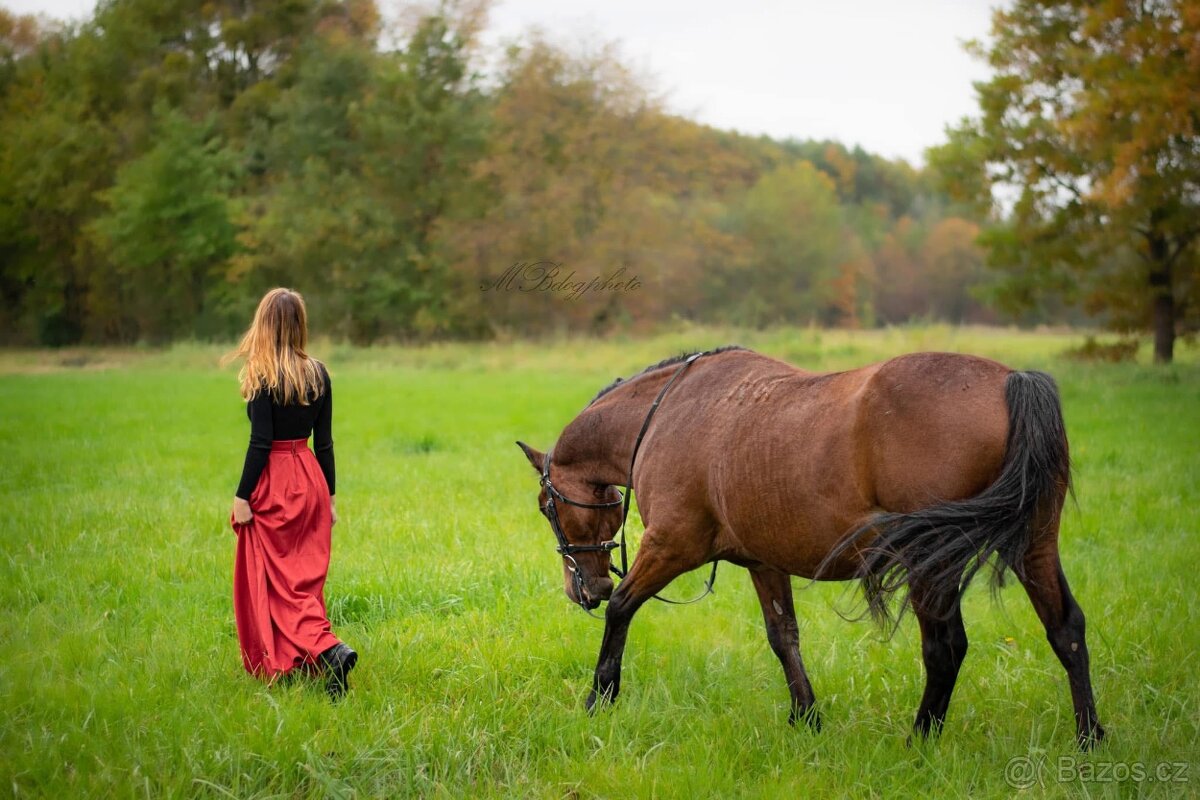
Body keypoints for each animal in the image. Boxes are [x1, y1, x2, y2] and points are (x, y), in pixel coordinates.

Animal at [516, 346, 1105, 749]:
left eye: (547, 507)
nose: (583, 588)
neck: (667, 413)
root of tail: (1012, 381)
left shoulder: (672, 545)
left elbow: (623, 610)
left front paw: (600, 697)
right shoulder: (762, 562)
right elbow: (784, 638)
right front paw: (806, 718)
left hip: (930, 565)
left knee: (945, 649)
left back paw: (919, 740)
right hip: (1033, 548)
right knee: (1066, 629)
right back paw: (1089, 737)